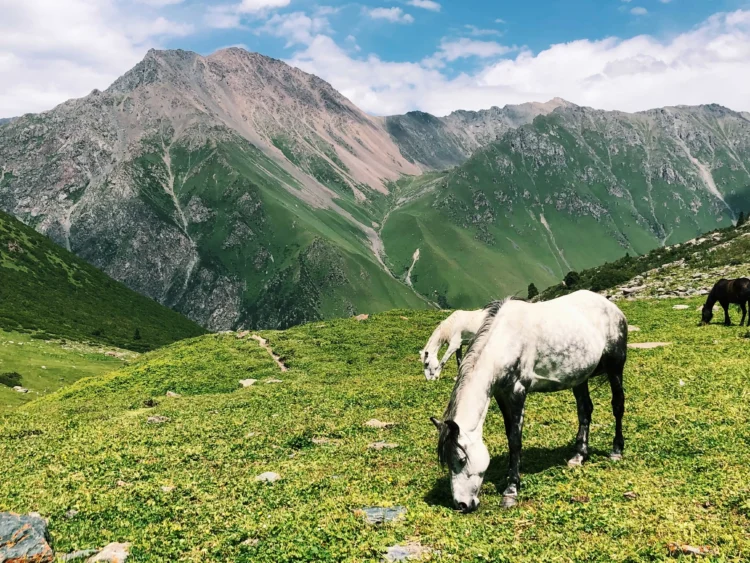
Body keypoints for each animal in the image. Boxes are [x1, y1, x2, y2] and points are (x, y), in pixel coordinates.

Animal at [430, 290, 628, 513]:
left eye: (462, 459)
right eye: (447, 462)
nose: (461, 504)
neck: (505, 341)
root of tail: (611, 307)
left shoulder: (518, 392)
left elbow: (515, 440)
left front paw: (511, 489)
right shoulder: (501, 394)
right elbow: (510, 434)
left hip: (615, 367)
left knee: (618, 405)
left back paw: (616, 450)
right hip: (580, 376)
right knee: (585, 410)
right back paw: (579, 455)